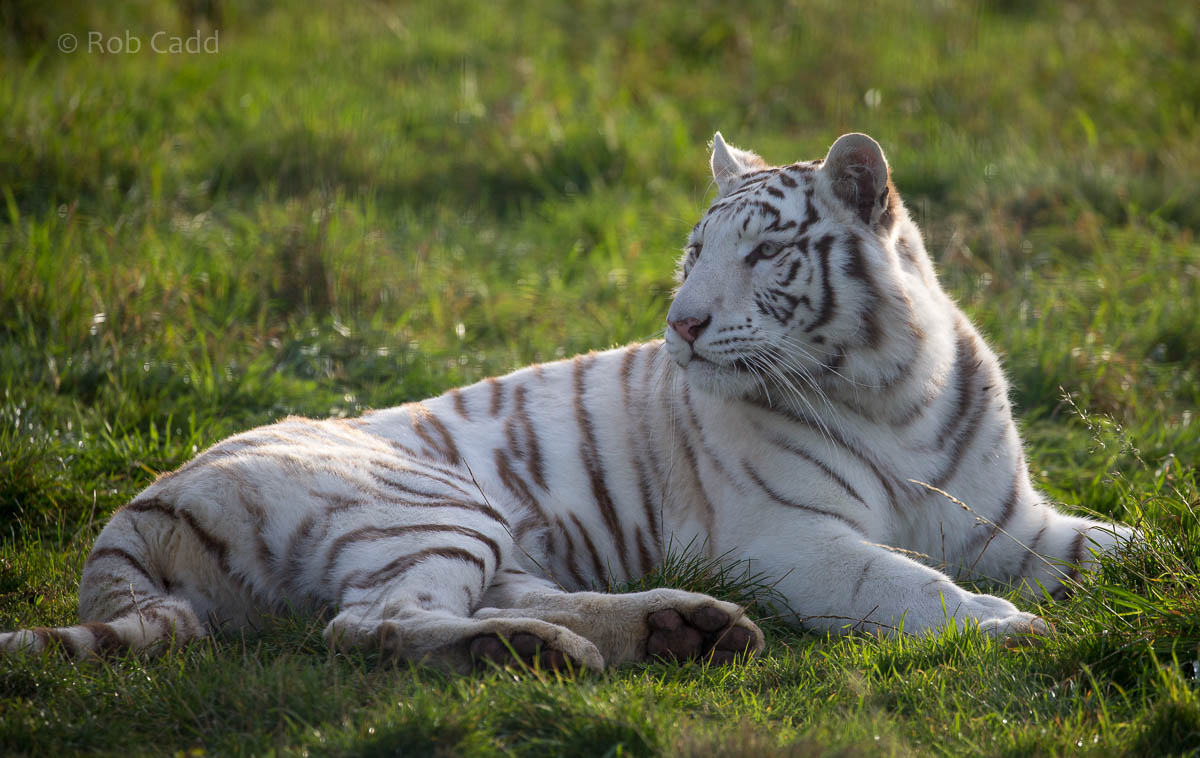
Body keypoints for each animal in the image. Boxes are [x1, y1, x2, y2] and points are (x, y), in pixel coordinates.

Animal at [0, 132, 1133, 671]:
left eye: (762, 253)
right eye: (694, 251)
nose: (682, 323)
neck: (894, 386)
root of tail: (134, 507)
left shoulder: (1012, 520)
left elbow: (1127, 548)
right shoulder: (788, 536)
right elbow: (902, 583)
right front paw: (1003, 625)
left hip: (485, 529)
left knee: (467, 597)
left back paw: (681, 627)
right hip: (431, 501)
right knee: (375, 620)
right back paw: (540, 653)